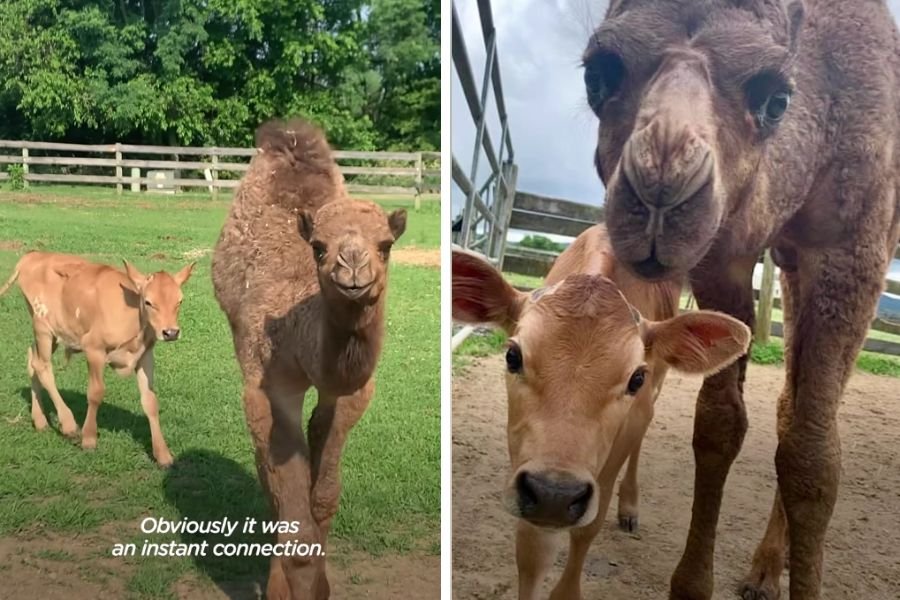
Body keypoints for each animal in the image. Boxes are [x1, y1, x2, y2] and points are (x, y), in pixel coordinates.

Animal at [0, 252, 193, 466]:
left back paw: (40, 420)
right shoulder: (94, 349)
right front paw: (89, 439)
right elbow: (95, 393)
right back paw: (68, 424)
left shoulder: (145, 355)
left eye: (179, 301)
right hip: (42, 326)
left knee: (33, 361)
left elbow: (150, 401)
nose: (171, 332)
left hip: (54, 333)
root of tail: (33, 254)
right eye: (149, 302)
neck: (132, 318)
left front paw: (163, 454)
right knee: (43, 367)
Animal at [211, 118, 406, 600]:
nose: (352, 267)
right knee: (270, 482)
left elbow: (323, 498)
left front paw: (322, 585)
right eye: (318, 246)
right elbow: (292, 515)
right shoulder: (268, 385)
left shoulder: (353, 391)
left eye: (386, 245)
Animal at [452, 224, 751, 600]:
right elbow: (533, 549)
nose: (555, 494)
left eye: (636, 378)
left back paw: (629, 506)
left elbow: (588, 528)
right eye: (512, 356)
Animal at [582, 1, 900, 598]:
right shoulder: (723, 252)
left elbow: (814, 455)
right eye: (598, 75)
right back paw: (763, 570)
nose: (661, 186)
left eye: (775, 99)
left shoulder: (854, 249)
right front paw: (690, 583)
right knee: (786, 406)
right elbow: (719, 423)